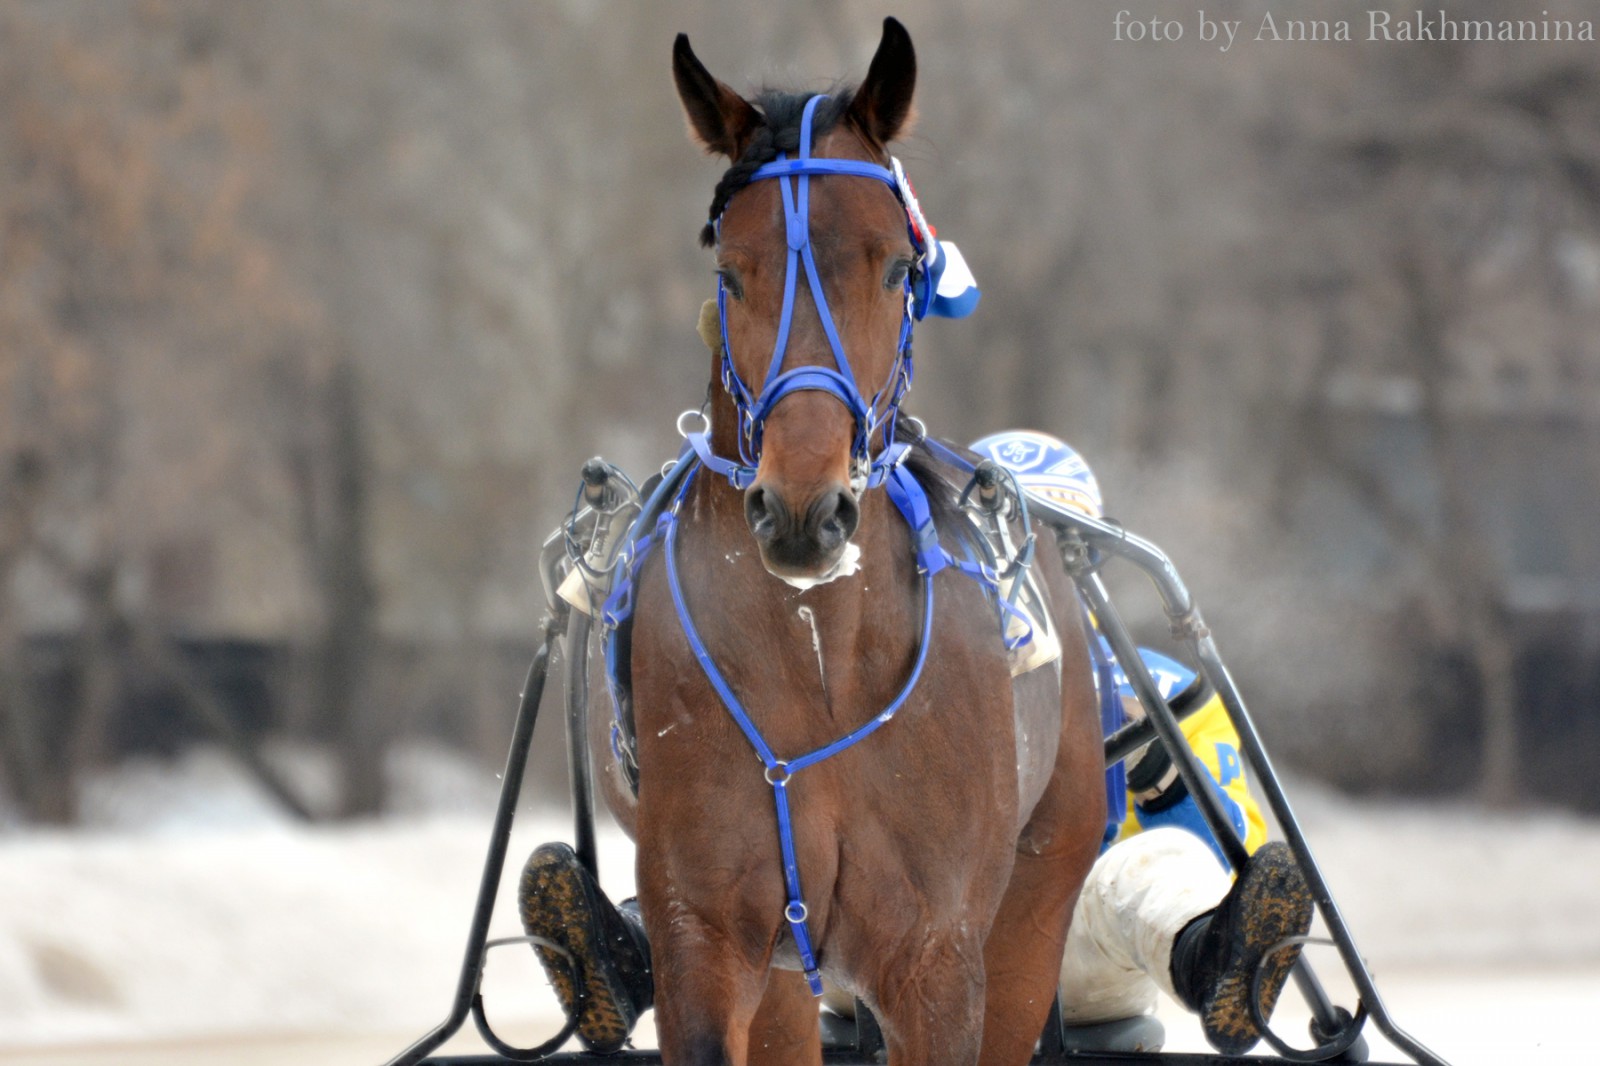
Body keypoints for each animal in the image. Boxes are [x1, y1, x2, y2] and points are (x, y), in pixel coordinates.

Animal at [595, 18, 1107, 1062]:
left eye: (896, 267)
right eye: (730, 272)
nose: (803, 509)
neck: (818, 654)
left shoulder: (938, 957)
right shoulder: (702, 933)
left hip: (1039, 894)